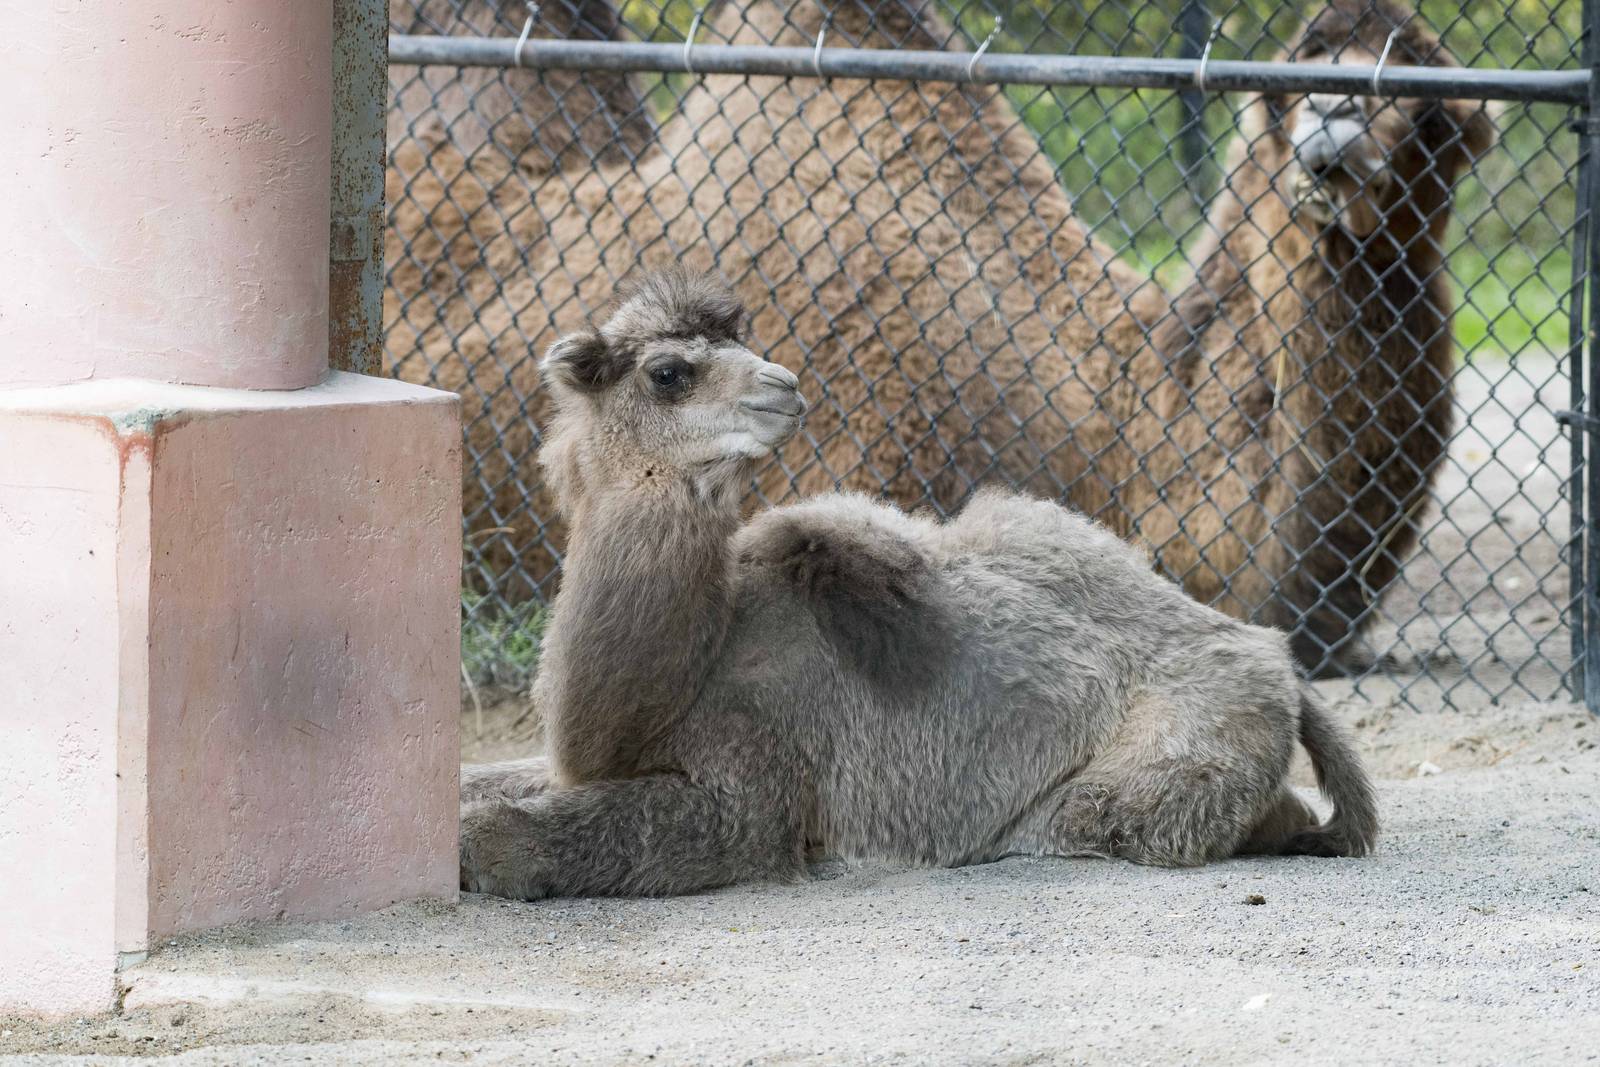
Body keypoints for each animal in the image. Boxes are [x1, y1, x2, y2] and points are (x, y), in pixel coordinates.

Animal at [456, 269, 1379, 900]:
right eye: (669, 371)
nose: (782, 384)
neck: (674, 684)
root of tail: (1275, 658)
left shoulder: (752, 788)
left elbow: (515, 835)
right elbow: (485, 779)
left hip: (1179, 739)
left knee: (1100, 815)